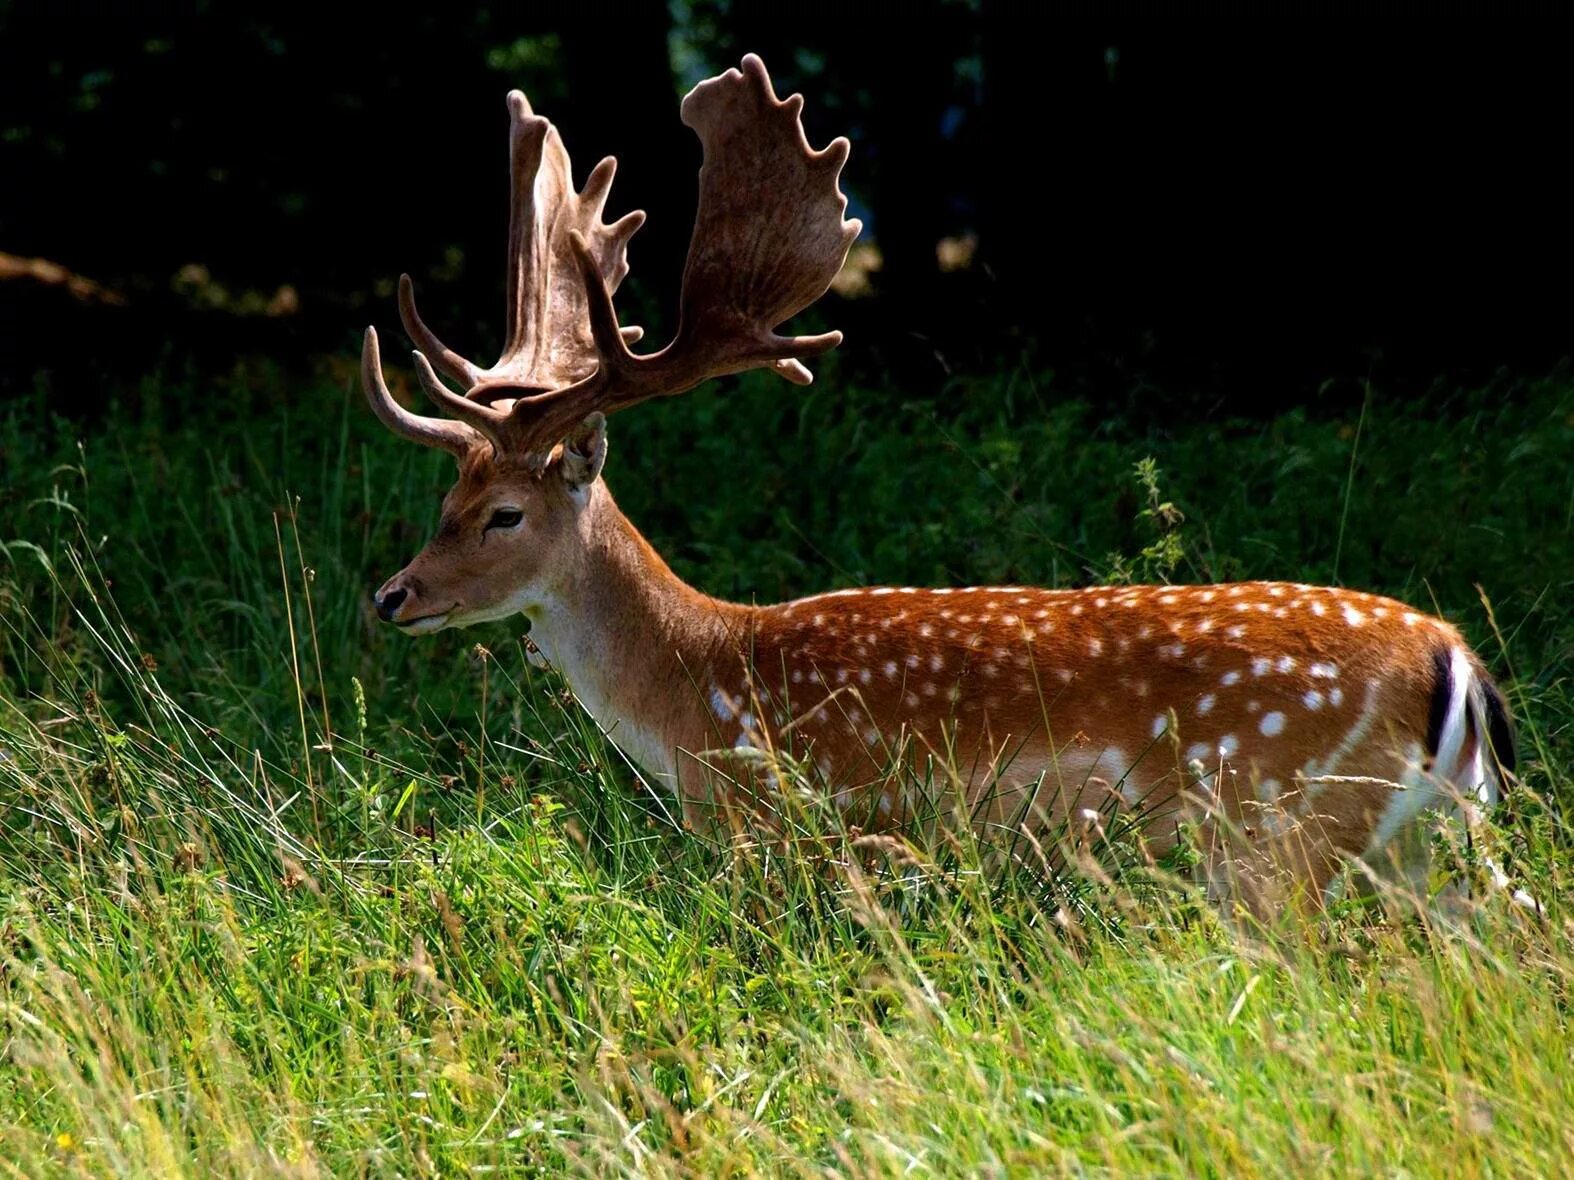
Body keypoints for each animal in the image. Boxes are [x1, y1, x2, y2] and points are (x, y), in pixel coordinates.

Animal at [357, 53, 1511, 912]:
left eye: (504, 514)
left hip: (1277, 824)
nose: (392, 595)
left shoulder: (796, 829)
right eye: (444, 501)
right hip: (1427, 840)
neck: (700, 693)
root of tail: (1447, 655)